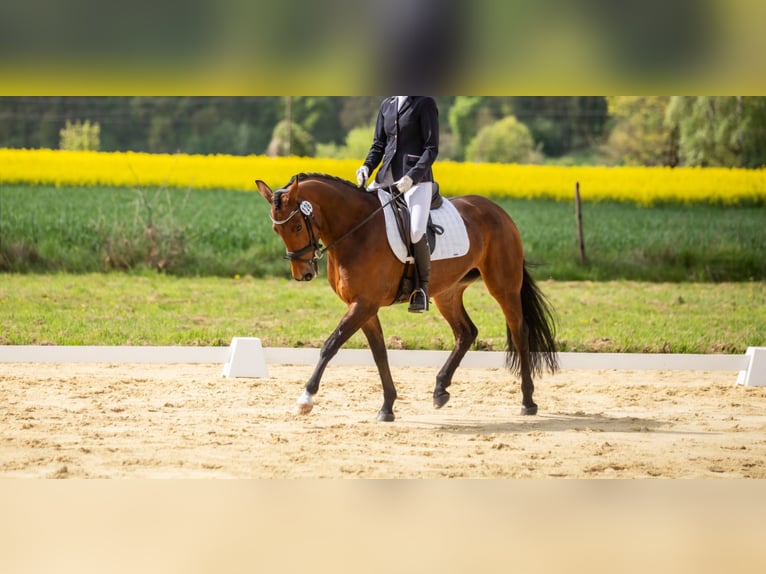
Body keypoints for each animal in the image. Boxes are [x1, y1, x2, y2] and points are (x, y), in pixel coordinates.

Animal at [256, 172, 560, 424]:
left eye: (297, 226)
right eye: (276, 230)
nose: (303, 274)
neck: (356, 230)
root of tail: (498, 211)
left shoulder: (364, 303)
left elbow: (330, 345)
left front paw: (305, 399)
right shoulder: (365, 306)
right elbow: (379, 353)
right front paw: (387, 407)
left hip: (503, 286)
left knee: (519, 333)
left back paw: (528, 401)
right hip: (447, 292)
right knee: (466, 332)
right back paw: (440, 390)